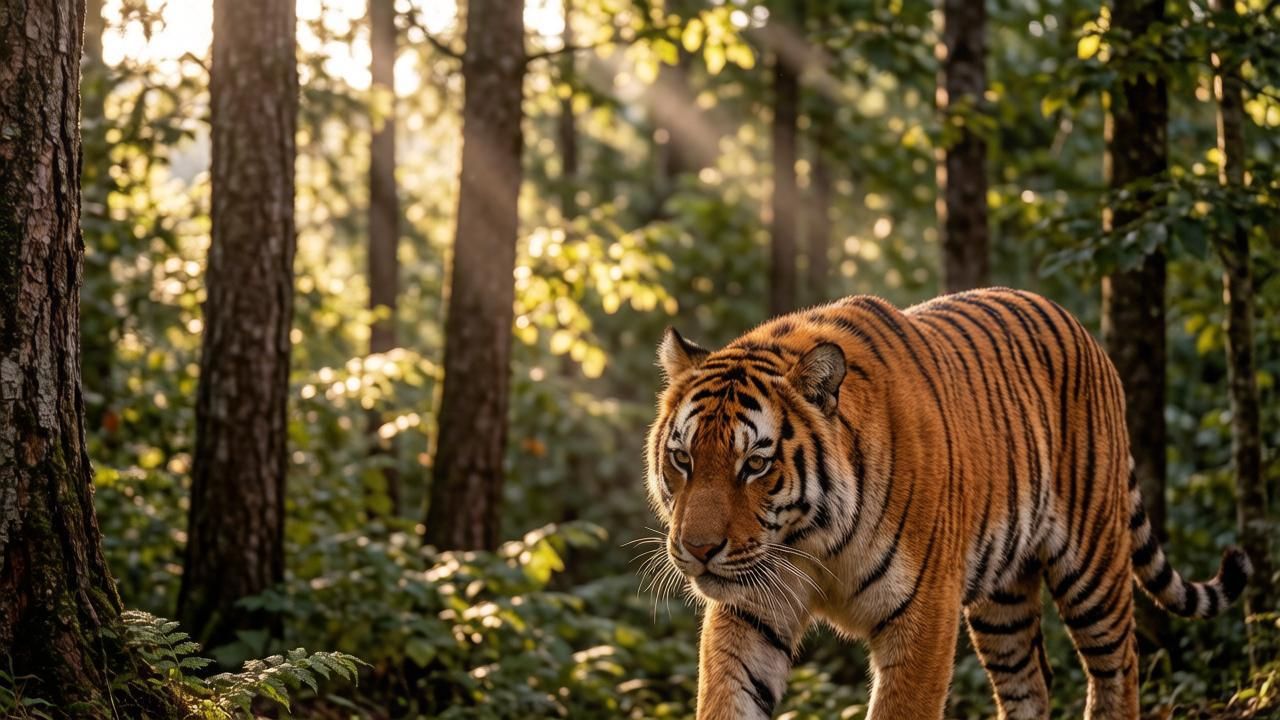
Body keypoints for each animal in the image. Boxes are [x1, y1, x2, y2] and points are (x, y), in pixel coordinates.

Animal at [644, 288, 1251, 720]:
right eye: (683, 459)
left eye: (755, 465)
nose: (698, 549)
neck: (811, 540)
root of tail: (1083, 330)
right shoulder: (751, 609)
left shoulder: (924, 612)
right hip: (1003, 599)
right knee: (1031, 683)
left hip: (1093, 566)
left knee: (1119, 669)